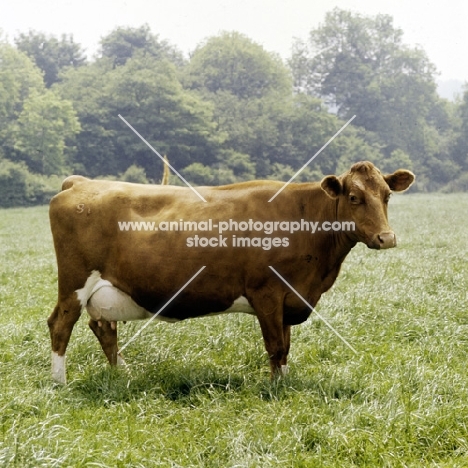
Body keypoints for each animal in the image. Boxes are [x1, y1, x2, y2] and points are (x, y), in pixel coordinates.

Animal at [47, 161, 414, 384]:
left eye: (387, 196)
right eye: (353, 197)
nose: (387, 238)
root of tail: (80, 182)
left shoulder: (289, 297)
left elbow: (286, 347)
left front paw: (284, 382)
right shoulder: (267, 292)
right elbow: (275, 346)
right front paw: (275, 389)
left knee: (103, 328)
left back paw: (123, 375)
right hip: (74, 282)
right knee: (61, 325)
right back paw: (60, 382)